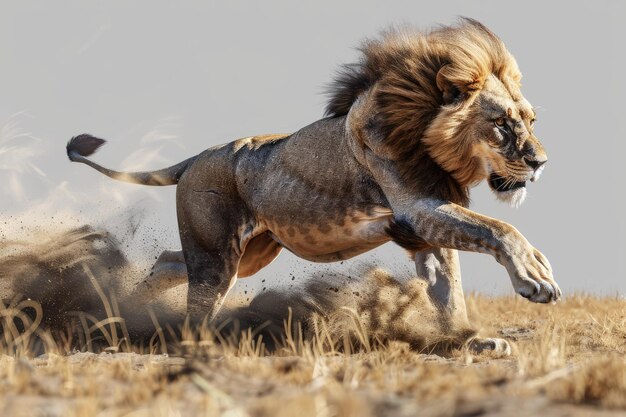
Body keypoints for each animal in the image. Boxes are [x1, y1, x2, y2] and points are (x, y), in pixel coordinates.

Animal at [66, 17, 560, 352]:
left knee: (167, 261)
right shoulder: (418, 207)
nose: (540, 162)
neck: (429, 139)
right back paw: (191, 337)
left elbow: (450, 289)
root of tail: (199, 157)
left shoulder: (425, 227)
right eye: (501, 124)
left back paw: (123, 307)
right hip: (218, 254)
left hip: (252, 251)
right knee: (197, 297)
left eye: (531, 121)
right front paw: (536, 278)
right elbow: (499, 229)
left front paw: (468, 340)